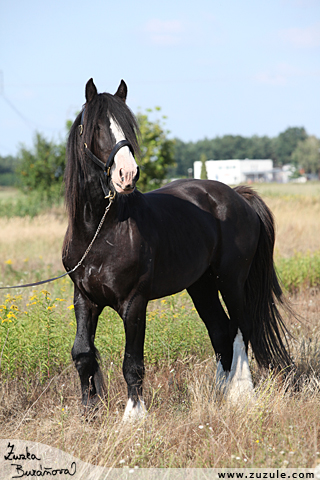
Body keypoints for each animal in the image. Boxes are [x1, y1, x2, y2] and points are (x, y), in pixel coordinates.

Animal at [62, 78, 292, 416]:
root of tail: (237, 195)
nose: (127, 174)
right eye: (98, 127)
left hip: (231, 281)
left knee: (240, 328)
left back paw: (242, 394)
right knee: (220, 331)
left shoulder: (134, 303)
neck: (99, 231)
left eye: (128, 126)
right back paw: (219, 392)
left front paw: (134, 417)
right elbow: (82, 353)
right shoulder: (84, 298)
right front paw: (89, 413)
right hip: (201, 285)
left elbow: (132, 362)